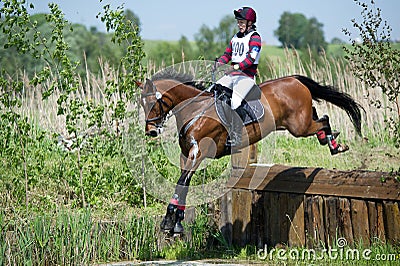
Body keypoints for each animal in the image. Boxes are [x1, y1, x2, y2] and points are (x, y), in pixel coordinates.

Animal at [139, 68, 364, 233]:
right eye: (142, 104)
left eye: (152, 102)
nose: (151, 131)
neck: (196, 111)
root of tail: (294, 79)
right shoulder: (186, 154)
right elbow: (183, 182)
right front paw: (174, 221)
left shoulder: (199, 153)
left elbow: (182, 181)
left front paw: (171, 220)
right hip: (300, 122)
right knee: (319, 116)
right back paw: (329, 140)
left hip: (299, 126)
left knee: (323, 119)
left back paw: (336, 145)